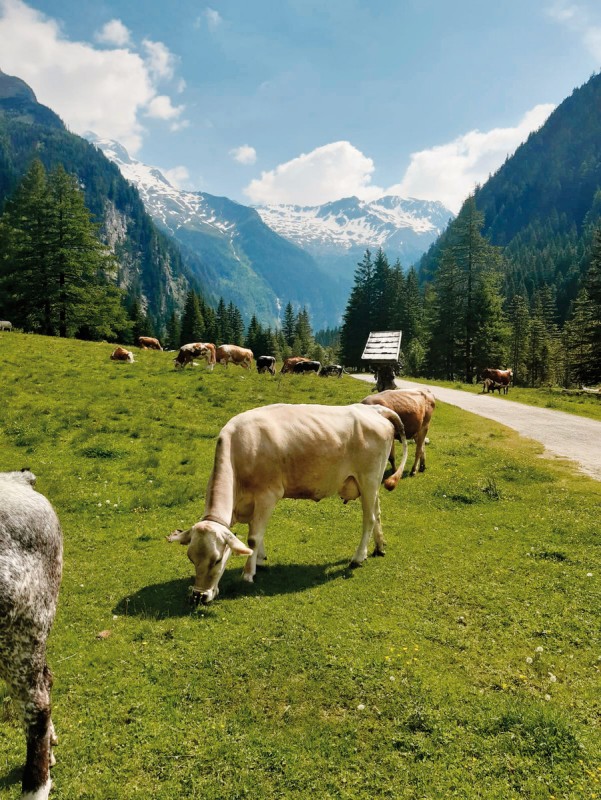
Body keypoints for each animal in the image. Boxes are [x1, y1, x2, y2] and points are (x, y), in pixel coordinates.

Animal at [168, 404, 408, 604]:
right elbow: (256, 534)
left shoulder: (268, 494)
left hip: (368, 479)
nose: (199, 596)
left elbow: (254, 537)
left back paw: (358, 557)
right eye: (191, 558)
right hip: (371, 484)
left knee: (369, 518)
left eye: (217, 560)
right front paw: (260, 559)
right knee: (377, 512)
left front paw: (248, 573)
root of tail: (374, 409)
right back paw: (378, 547)